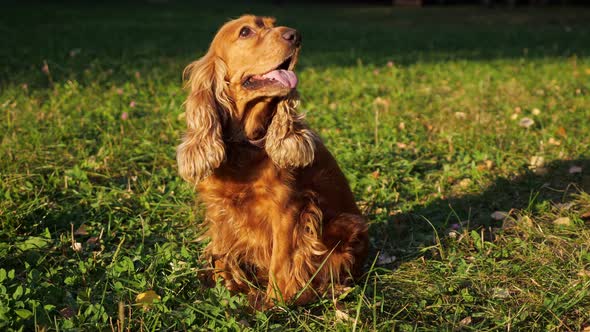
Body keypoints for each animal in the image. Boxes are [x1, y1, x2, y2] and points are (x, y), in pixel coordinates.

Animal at [177, 14, 370, 306]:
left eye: (272, 23)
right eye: (245, 31)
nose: (296, 35)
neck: (246, 143)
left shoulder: (289, 210)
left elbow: (282, 261)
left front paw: (275, 303)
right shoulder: (219, 210)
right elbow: (222, 253)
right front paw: (226, 287)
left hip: (346, 225)